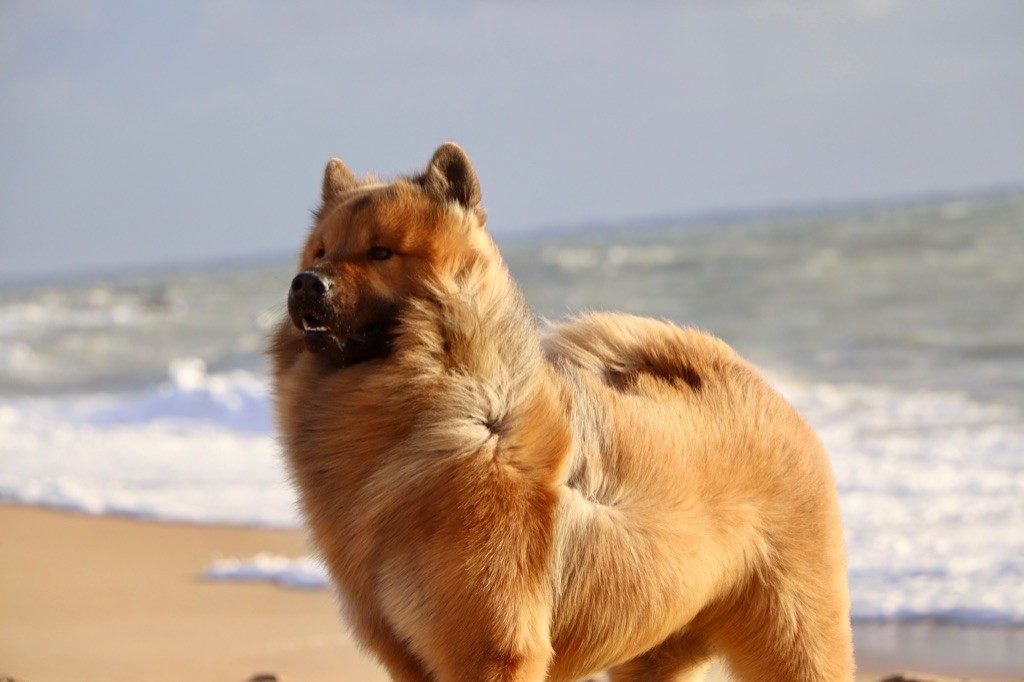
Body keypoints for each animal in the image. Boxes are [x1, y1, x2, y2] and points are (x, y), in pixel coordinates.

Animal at [268, 140, 851, 675]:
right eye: (320, 251)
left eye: (381, 253)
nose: (306, 283)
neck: (462, 407)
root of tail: (759, 387)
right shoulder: (408, 654)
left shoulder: (490, 646)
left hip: (794, 636)